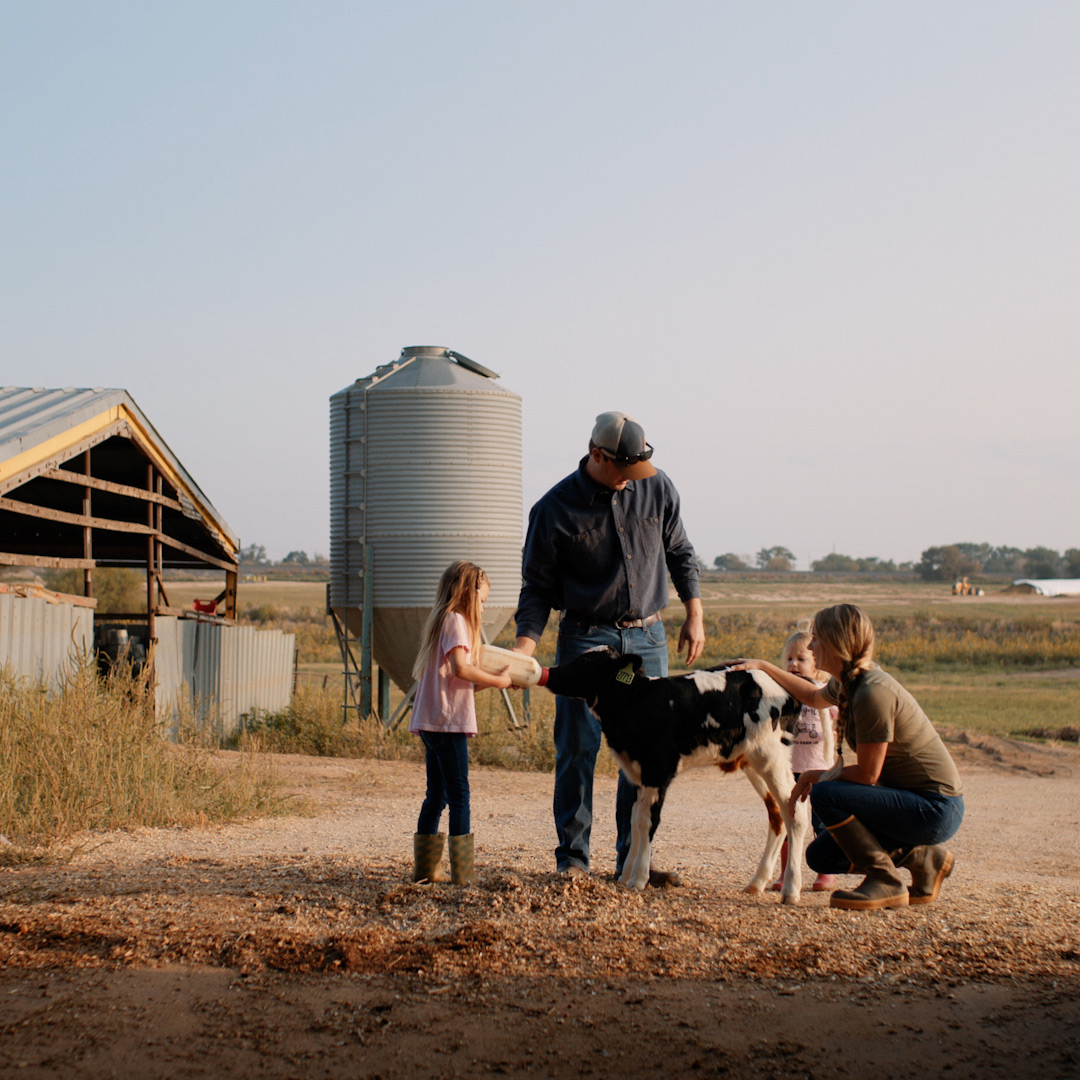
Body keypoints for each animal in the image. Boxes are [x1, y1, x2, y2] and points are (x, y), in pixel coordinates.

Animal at [540, 648, 812, 902]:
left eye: (586, 662)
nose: (552, 673)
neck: (638, 700)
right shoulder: (638, 773)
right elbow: (634, 818)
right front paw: (626, 875)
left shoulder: (658, 771)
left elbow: (646, 820)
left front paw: (638, 879)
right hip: (752, 761)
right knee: (777, 814)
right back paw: (757, 882)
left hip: (771, 756)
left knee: (795, 813)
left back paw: (790, 890)